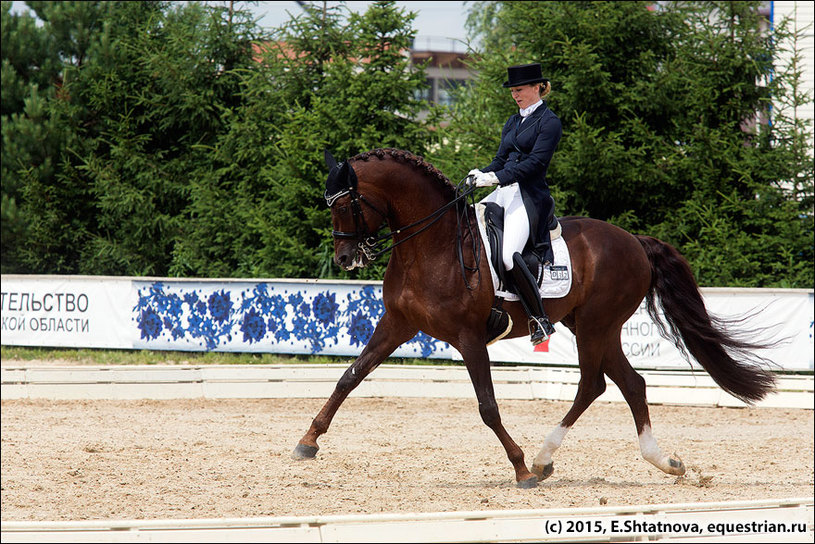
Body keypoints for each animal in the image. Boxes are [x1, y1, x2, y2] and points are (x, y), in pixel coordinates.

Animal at [294, 147, 776, 486]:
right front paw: (307, 441)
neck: (430, 246)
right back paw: (664, 462)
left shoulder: (469, 338)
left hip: (596, 324)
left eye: (346, 204)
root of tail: (635, 241)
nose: (345, 259)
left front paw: (521, 469)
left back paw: (543, 460)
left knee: (593, 384)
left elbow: (488, 406)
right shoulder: (397, 324)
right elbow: (350, 377)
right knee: (630, 384)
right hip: (591, 325)